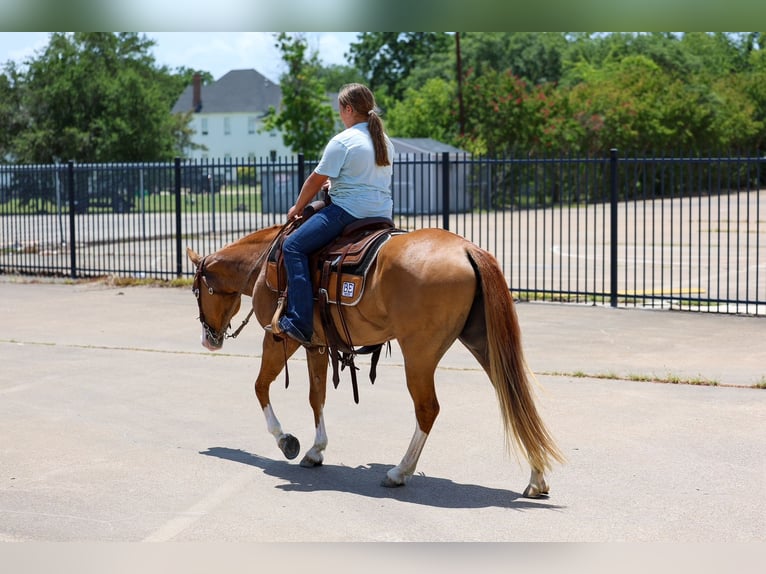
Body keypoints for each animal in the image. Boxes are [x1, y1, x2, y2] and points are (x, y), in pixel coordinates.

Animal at [187, 223, 564, 497]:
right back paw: (536, 476)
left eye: (197, 290)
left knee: (428, 409)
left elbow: (261, 386)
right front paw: (316, 450)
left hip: (419, 356)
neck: (267, 263)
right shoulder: (315, 345)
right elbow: (316, 396)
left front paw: (286, 440)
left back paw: (400, 472)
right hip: (483, 344)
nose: (208, 339)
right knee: (513, 398)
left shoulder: (281, 337)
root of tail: (467, 248)